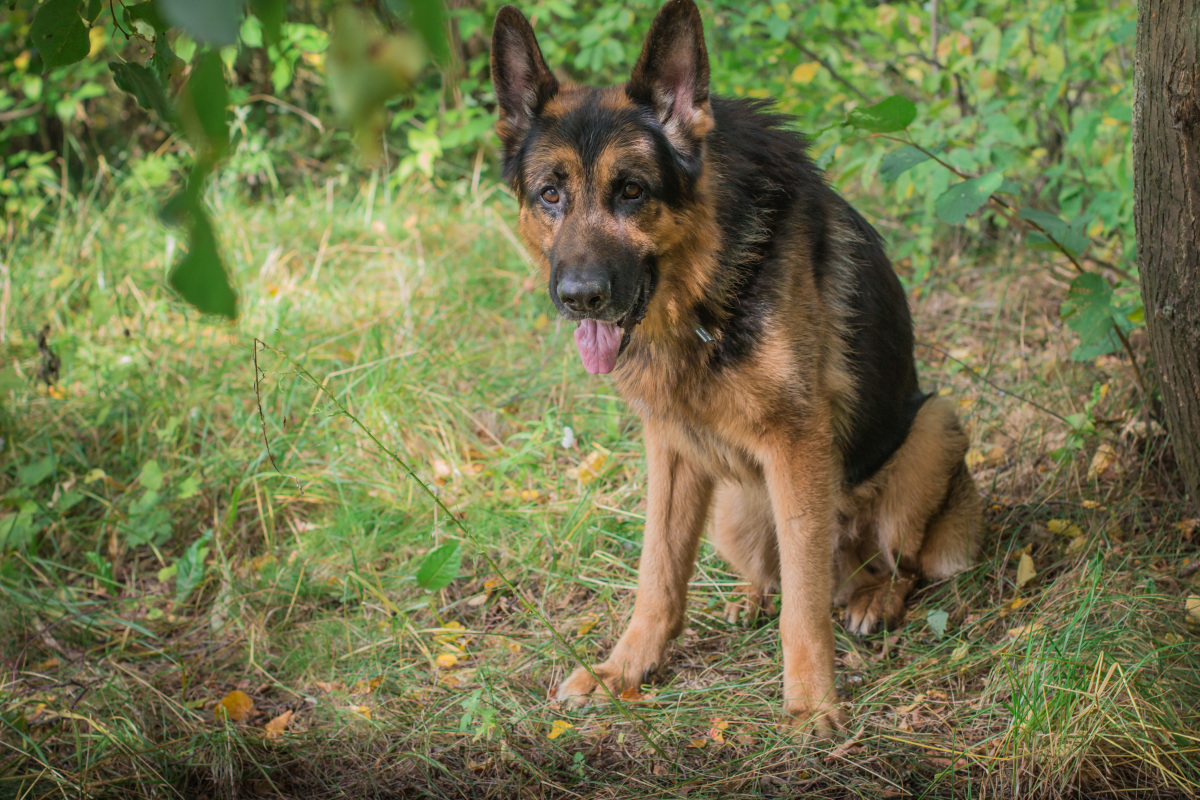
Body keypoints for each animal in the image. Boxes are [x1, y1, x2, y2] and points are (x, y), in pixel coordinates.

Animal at [492, 0, 979, 734]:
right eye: (551, 194)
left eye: (631, 191)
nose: (580, 297)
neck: (701, 286)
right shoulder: (669, 447)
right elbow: (658, 575)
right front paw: (624, 670)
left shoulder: (797, 444)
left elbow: (805, 606)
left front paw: (811, 703)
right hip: (732, 504)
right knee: (780, 573)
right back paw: (751, 597)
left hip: (936, 427)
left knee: (894, 568)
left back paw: (872, 599)